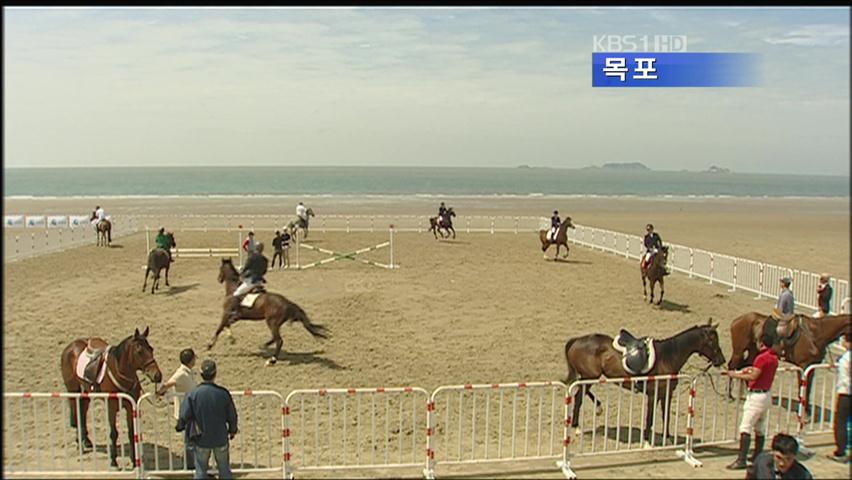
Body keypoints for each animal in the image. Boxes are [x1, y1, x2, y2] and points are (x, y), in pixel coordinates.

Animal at [59, 326, 162, 468]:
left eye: (151, 349)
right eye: (139, 351)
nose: (157, 375)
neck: (120, 372)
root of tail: (70, 347)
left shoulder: (130, 407)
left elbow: (131, 432)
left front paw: (133, 461)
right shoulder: (111, 407)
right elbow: (114, 433)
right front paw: (113, 461)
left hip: (86, 392)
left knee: (82, 411)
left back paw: (86, 441)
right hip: (72, 390)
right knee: (77, 412)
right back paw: (80, 444)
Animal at [724, 314, 852, 414]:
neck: (815, 333)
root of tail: (737, 320)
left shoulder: (812, 366)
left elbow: (808, 389)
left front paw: (807, 411)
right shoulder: (803, 365)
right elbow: (802, 387)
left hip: (753, 351)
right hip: (739, 351)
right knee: (732, 367)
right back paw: (729, 395)